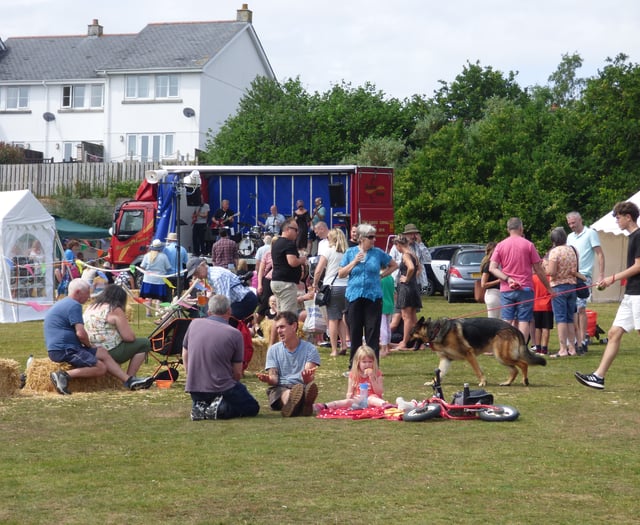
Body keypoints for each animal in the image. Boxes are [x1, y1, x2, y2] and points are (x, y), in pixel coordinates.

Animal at [410, 316, 544, 384]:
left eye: (410, 333)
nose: (405, 342)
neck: (435, 330)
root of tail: (514, 328)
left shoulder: (469, 354)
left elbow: (477, 371)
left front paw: (482, 382)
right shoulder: (446, 360)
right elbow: (439, 374)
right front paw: (433, 383)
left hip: (502, 356)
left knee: (523, 364)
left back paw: (525, 381)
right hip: (501, 358)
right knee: (515, 370)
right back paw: (507, 382)